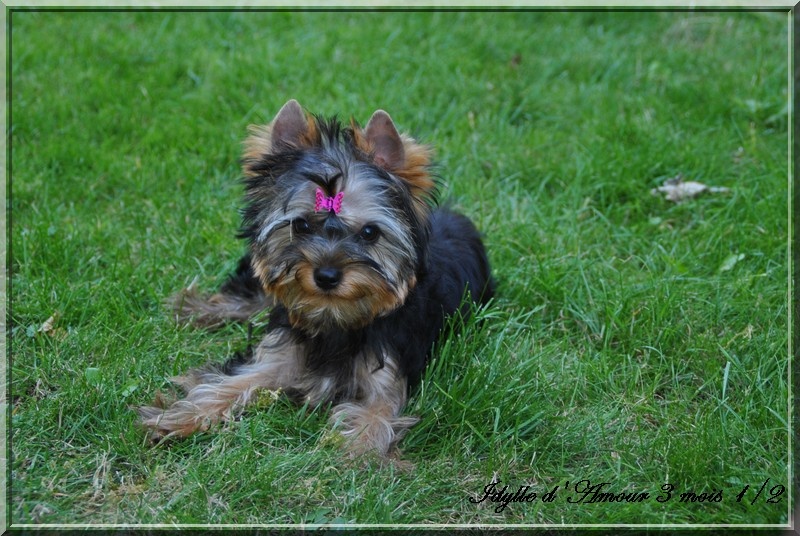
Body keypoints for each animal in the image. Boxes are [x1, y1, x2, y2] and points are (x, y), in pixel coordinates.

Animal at [139, 99, 494, 456]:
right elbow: (233, 382)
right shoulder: (277, 358)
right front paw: (181, 418)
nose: (326, 275)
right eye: (301, 225)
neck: (336, 317)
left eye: (370, 232)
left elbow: (376, 417)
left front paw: (353, 457)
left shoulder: (387, 376)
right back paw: (194, 309)